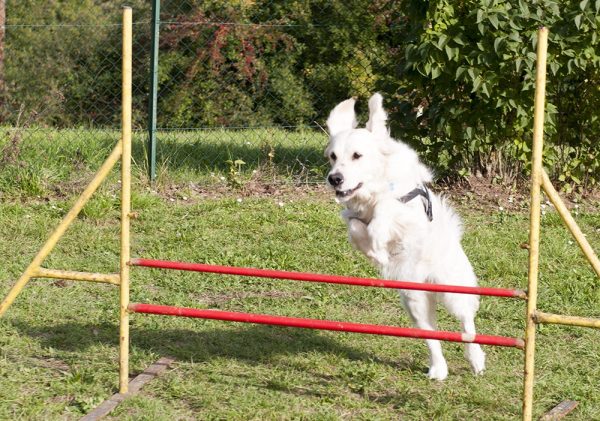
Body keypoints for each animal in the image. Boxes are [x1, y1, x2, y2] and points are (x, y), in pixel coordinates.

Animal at [326, 93, 486, 378]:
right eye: (333, 156)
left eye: (357, 155)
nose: (334, 179)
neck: (371, 190)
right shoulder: (352, 214)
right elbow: (355, 227)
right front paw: (376, 253)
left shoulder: (407, 210)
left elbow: (385, 208)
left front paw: (377, 241)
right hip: (414, 301)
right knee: (432, 335)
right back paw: (438, 369)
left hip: (452, 289)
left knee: (467, 323)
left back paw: (476, 359)